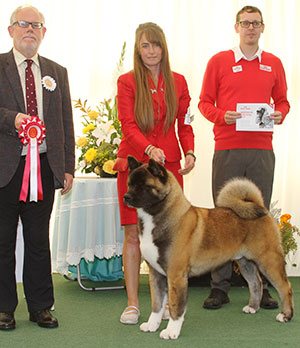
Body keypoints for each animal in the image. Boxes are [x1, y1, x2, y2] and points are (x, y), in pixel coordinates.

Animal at [123, 157, 292, 340]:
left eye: (145, 186)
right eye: (129, 183)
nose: (126, 197)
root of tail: (261, 208)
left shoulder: (176, 275)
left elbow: (176, 306)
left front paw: (171, 331)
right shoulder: (156, 274)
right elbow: (157, 304)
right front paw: (152, 325)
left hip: (268, 260)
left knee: (285, 287)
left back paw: (286, 315)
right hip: (245, 262)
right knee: (256, 283)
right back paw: (252, 307)